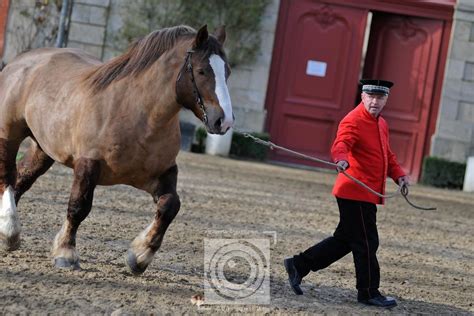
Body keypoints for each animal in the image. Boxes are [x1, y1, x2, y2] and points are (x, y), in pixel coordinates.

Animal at [0, 24, 233, 274]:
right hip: (9, 137)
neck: (138, 113)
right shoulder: (87, 165)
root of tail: (20, 61)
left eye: (227, 71)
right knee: (8, 178)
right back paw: (10, 232)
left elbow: (170, 206)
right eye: (201, 71)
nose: (224, 121)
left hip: (43, 149)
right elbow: (79, 206)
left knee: (21, 179)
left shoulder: (161, 173)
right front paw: (65, 253)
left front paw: (139, 256)